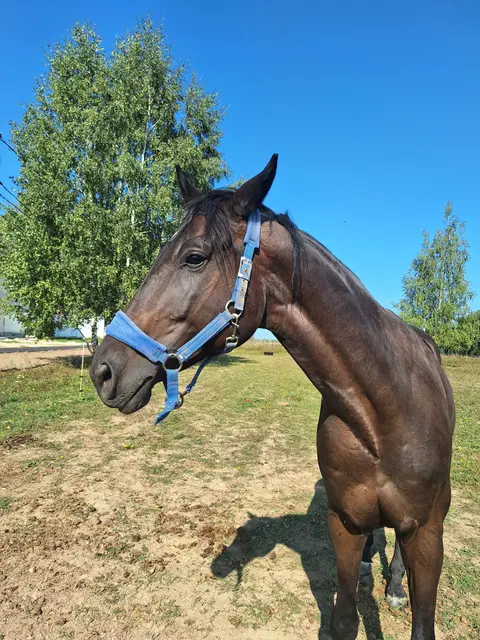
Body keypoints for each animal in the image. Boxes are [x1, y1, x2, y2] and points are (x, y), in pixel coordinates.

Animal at [90, 155, 455, 640]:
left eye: (194, 257)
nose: (103, 370)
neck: (384, 409)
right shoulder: (344, 524)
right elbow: (343, 619)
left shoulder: (429, 534)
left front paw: (397, 588)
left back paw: (394, 585)